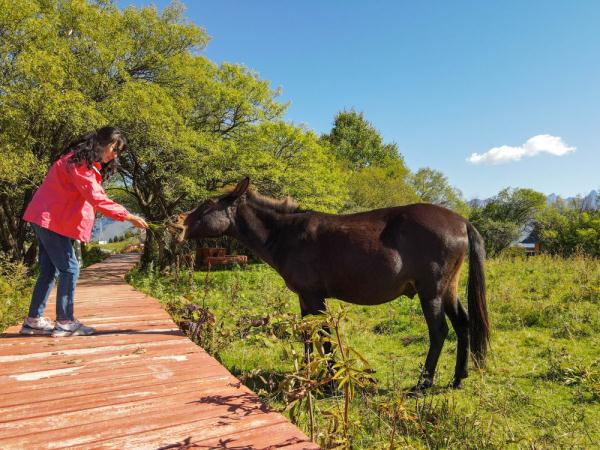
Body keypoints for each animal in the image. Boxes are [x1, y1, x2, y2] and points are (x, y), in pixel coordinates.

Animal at [169, 178, 488, 388]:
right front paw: (310, 374)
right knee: (462, 324)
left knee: (439, 332)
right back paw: (458, 378)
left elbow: (322, 336)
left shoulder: (314, 296)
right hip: (447, 289)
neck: (287, 233)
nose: (176, 223)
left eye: (207, 204)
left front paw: (331, 380)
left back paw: (423, 384)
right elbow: (308, 336)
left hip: (430, 292)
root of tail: (461, 221)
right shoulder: (304, 298)